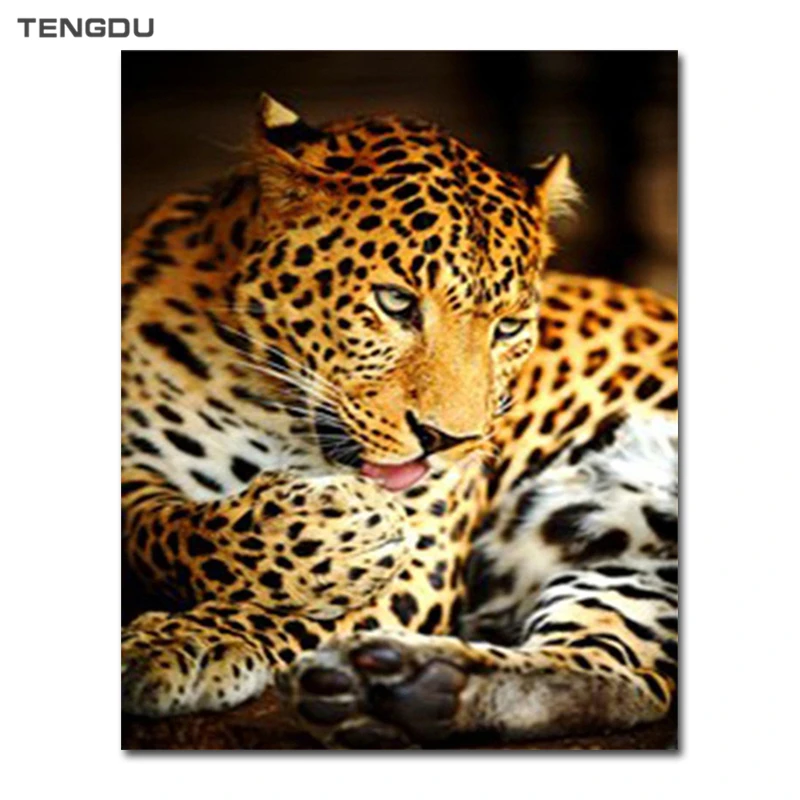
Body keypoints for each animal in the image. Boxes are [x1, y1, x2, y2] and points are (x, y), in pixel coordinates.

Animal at [121, 95, 678, 748]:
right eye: (395, 303)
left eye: (509, 327)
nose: (450, 440)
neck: (269, 406)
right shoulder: (132, 461)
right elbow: (170, 531)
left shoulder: (425, 555)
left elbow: (290, 609)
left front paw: (192, 641)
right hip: (626, 573)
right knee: (618, 671)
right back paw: (409, 689)